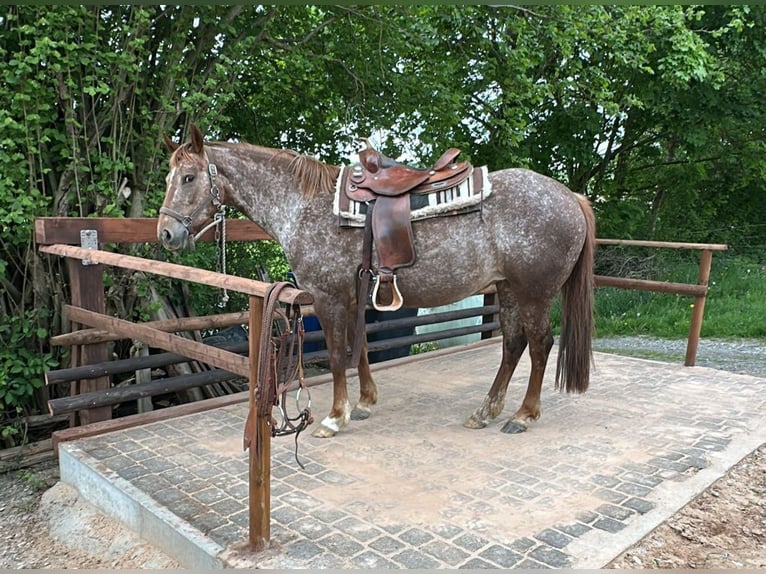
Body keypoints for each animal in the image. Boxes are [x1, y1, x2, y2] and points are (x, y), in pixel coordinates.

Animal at [158, 125, 596, 438]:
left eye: (189, 177)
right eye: (170, 178)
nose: (166, 233)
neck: (304, 206)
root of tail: (571, 197)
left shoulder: (328, 297)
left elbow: (338, 355)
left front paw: (334, 418)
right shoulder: (355, 295)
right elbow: (363, 349)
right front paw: (364, 403)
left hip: (534, 293)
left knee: (539, 346)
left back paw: (523, 415)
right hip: (507, 290)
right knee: (512, 345)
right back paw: (485, 411)